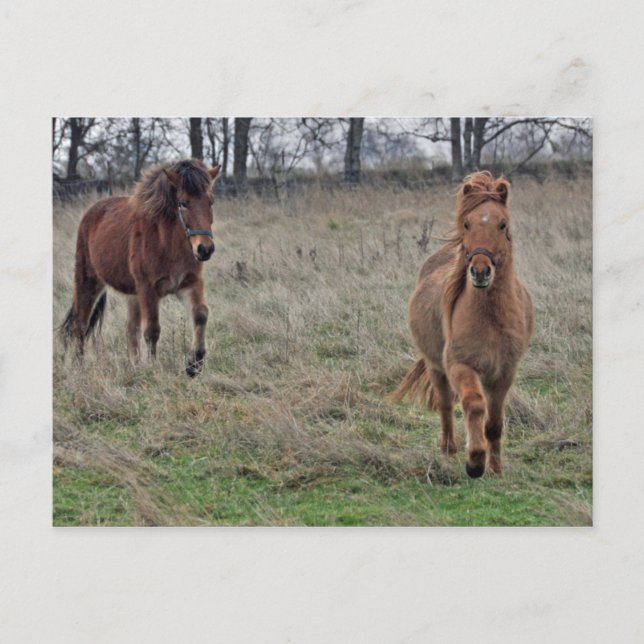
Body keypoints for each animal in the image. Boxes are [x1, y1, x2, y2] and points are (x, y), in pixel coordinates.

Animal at [61, 159, 221, 377]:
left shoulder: (189, 283)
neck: (168, 242)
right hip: (88, 282)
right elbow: (152, 330)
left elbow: (200, 314)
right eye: (183, 203)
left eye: (210, 202)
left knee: (130, 329)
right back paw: (79, 368)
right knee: (80, 325)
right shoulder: (148, 290)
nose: (205, 249)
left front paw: (194, 364)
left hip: (133, 295)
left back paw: (134, 367)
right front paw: (153, 368)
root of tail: (93, 211)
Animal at [393, 171, 534, 478]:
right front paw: (475, 461)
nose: (480, 271)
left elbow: (494, 424)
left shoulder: (504, 373)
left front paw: (495, 468)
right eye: (467, 223)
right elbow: (474, 405)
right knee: (446, 407)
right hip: (436, 367)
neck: (490, 318)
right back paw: (449, 451)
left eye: (502, 224)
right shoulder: (460, 366)